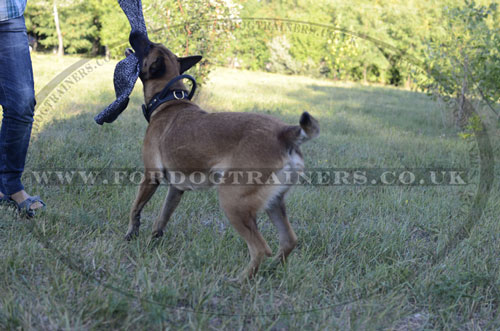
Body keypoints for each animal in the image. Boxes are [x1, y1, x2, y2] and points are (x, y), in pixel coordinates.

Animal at [125, 33, 320, 282]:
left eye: (148, 45)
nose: (136, 34)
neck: (169, 100)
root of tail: (285, 132)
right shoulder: (176, 189)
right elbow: (162, 219)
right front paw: (152, 244)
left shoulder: (151, 176)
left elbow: (135, 209)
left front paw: (130, 235)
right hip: (274, 203)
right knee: (288, 242)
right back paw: (269, 272)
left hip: (232, 201)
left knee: (260, 248)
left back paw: (240, 281)